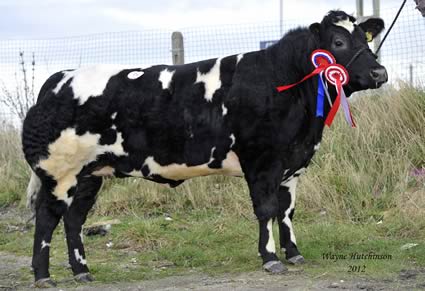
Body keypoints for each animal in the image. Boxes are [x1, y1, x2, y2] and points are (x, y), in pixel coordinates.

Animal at [24, 10, 388, 288]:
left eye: (366, 39)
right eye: (338, 42)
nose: (379, 72)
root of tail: (58, 79)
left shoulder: (292, 163)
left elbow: (286, 212)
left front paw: (294, 253)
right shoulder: (262, 161)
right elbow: (267, 210)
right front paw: (271, 258)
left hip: (90, 174)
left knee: (73, 220)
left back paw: (82, 271)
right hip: (60, 174)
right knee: (47, 218)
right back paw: (43, 276)